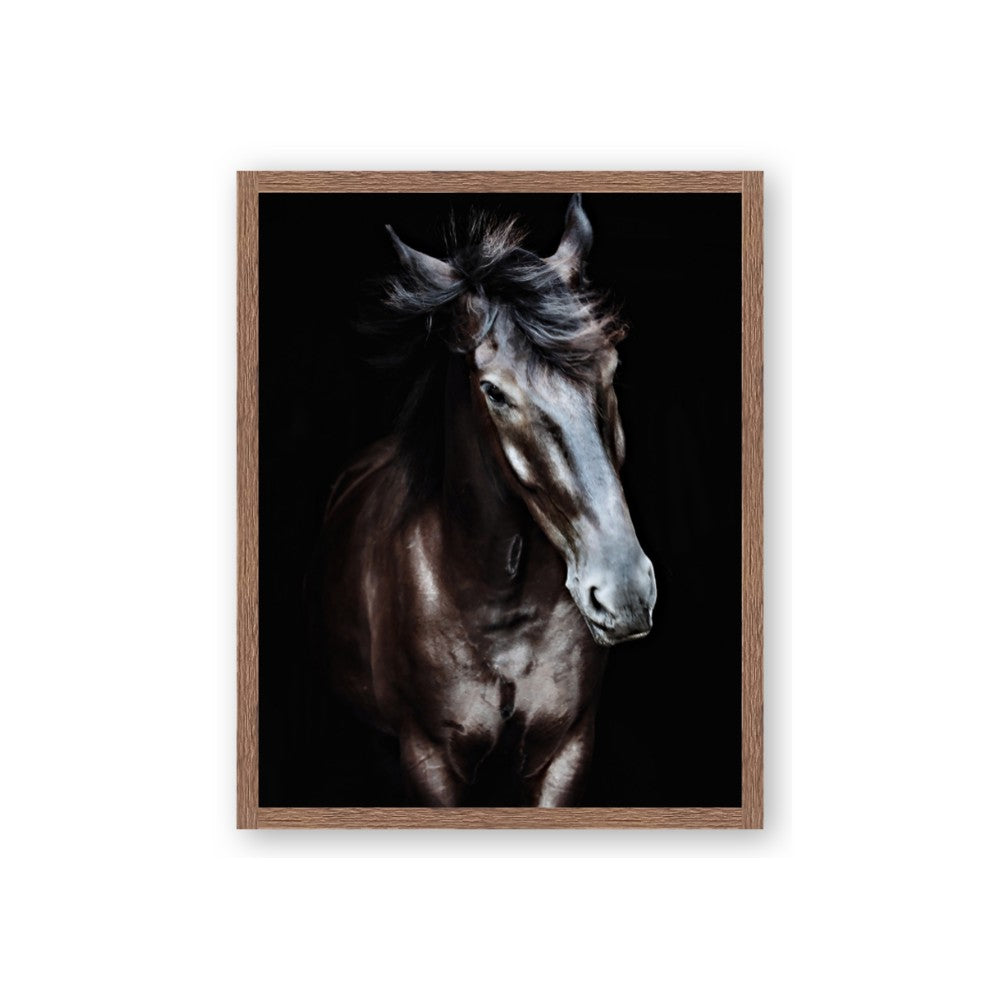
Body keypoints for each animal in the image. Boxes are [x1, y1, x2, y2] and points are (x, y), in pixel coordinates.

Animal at [307, 195, 657, 806]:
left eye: (611, 366)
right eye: (493, 391)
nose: (625, 592)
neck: (499, 607)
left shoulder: (565, 751)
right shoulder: (428, 760)